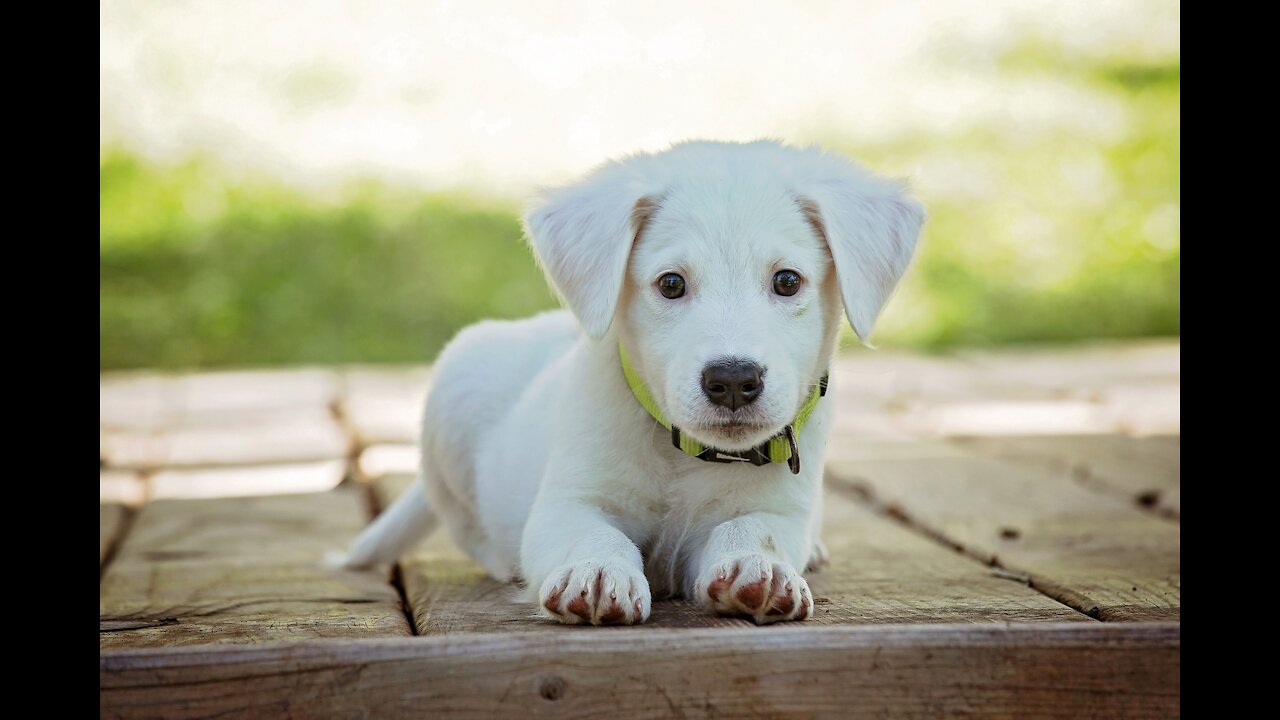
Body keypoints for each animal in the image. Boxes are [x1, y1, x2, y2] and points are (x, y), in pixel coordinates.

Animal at [343, 140, 921, 622]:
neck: (684, 455)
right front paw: (598, 572)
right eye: (671, 284)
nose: (734, 380)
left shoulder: (779, 509)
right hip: (455, 393)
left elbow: (752, 529)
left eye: (787, 281)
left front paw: (759, 568)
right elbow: (594, 535)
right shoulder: (567, 503)